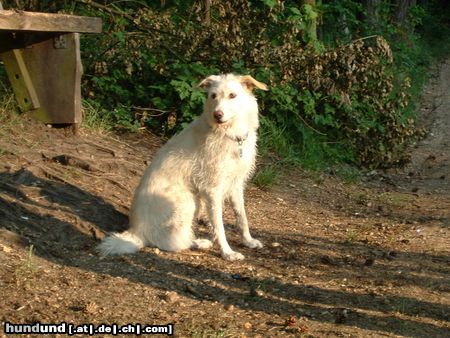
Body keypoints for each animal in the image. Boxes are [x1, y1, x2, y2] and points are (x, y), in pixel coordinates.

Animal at [98, 73, 268, 258]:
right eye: (213, 96)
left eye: (232, 95)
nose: (217, 114)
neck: (230, 135)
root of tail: (136, 232)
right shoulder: (212, 189)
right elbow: (219, 226)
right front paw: (227, 252)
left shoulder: (236, 184)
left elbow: (241, 217)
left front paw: (248, 241)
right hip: (188, 200)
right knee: (170, 242)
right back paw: (197, 243)